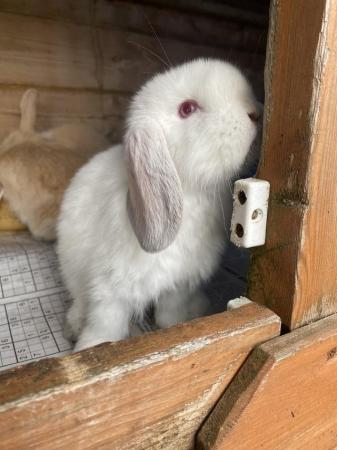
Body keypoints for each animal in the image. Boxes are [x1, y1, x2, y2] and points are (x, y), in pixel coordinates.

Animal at [57, 58, 260, 352]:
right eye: (187, 108)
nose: (255, 113)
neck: (189, 195)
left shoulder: (178, 284)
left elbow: (170, 313)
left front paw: (174, 327)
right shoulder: (110, 288)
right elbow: (106, 323)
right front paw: (92, 347)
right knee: (79, 300)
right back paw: (73, 326)